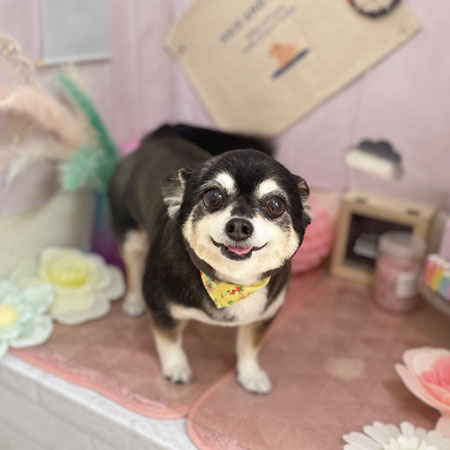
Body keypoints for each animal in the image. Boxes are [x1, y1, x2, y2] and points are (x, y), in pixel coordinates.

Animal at [108, 124, 311, 394]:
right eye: (213, 197)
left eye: (275, 205)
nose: (239, 226)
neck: (232, 283)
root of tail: (157, 138)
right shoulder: (161, 306)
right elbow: (169, 340)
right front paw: (176, 368)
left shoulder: (263, 317)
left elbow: (249, 347)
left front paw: (251, 375)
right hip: (131, 235)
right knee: (132, 267)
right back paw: (133, 302)